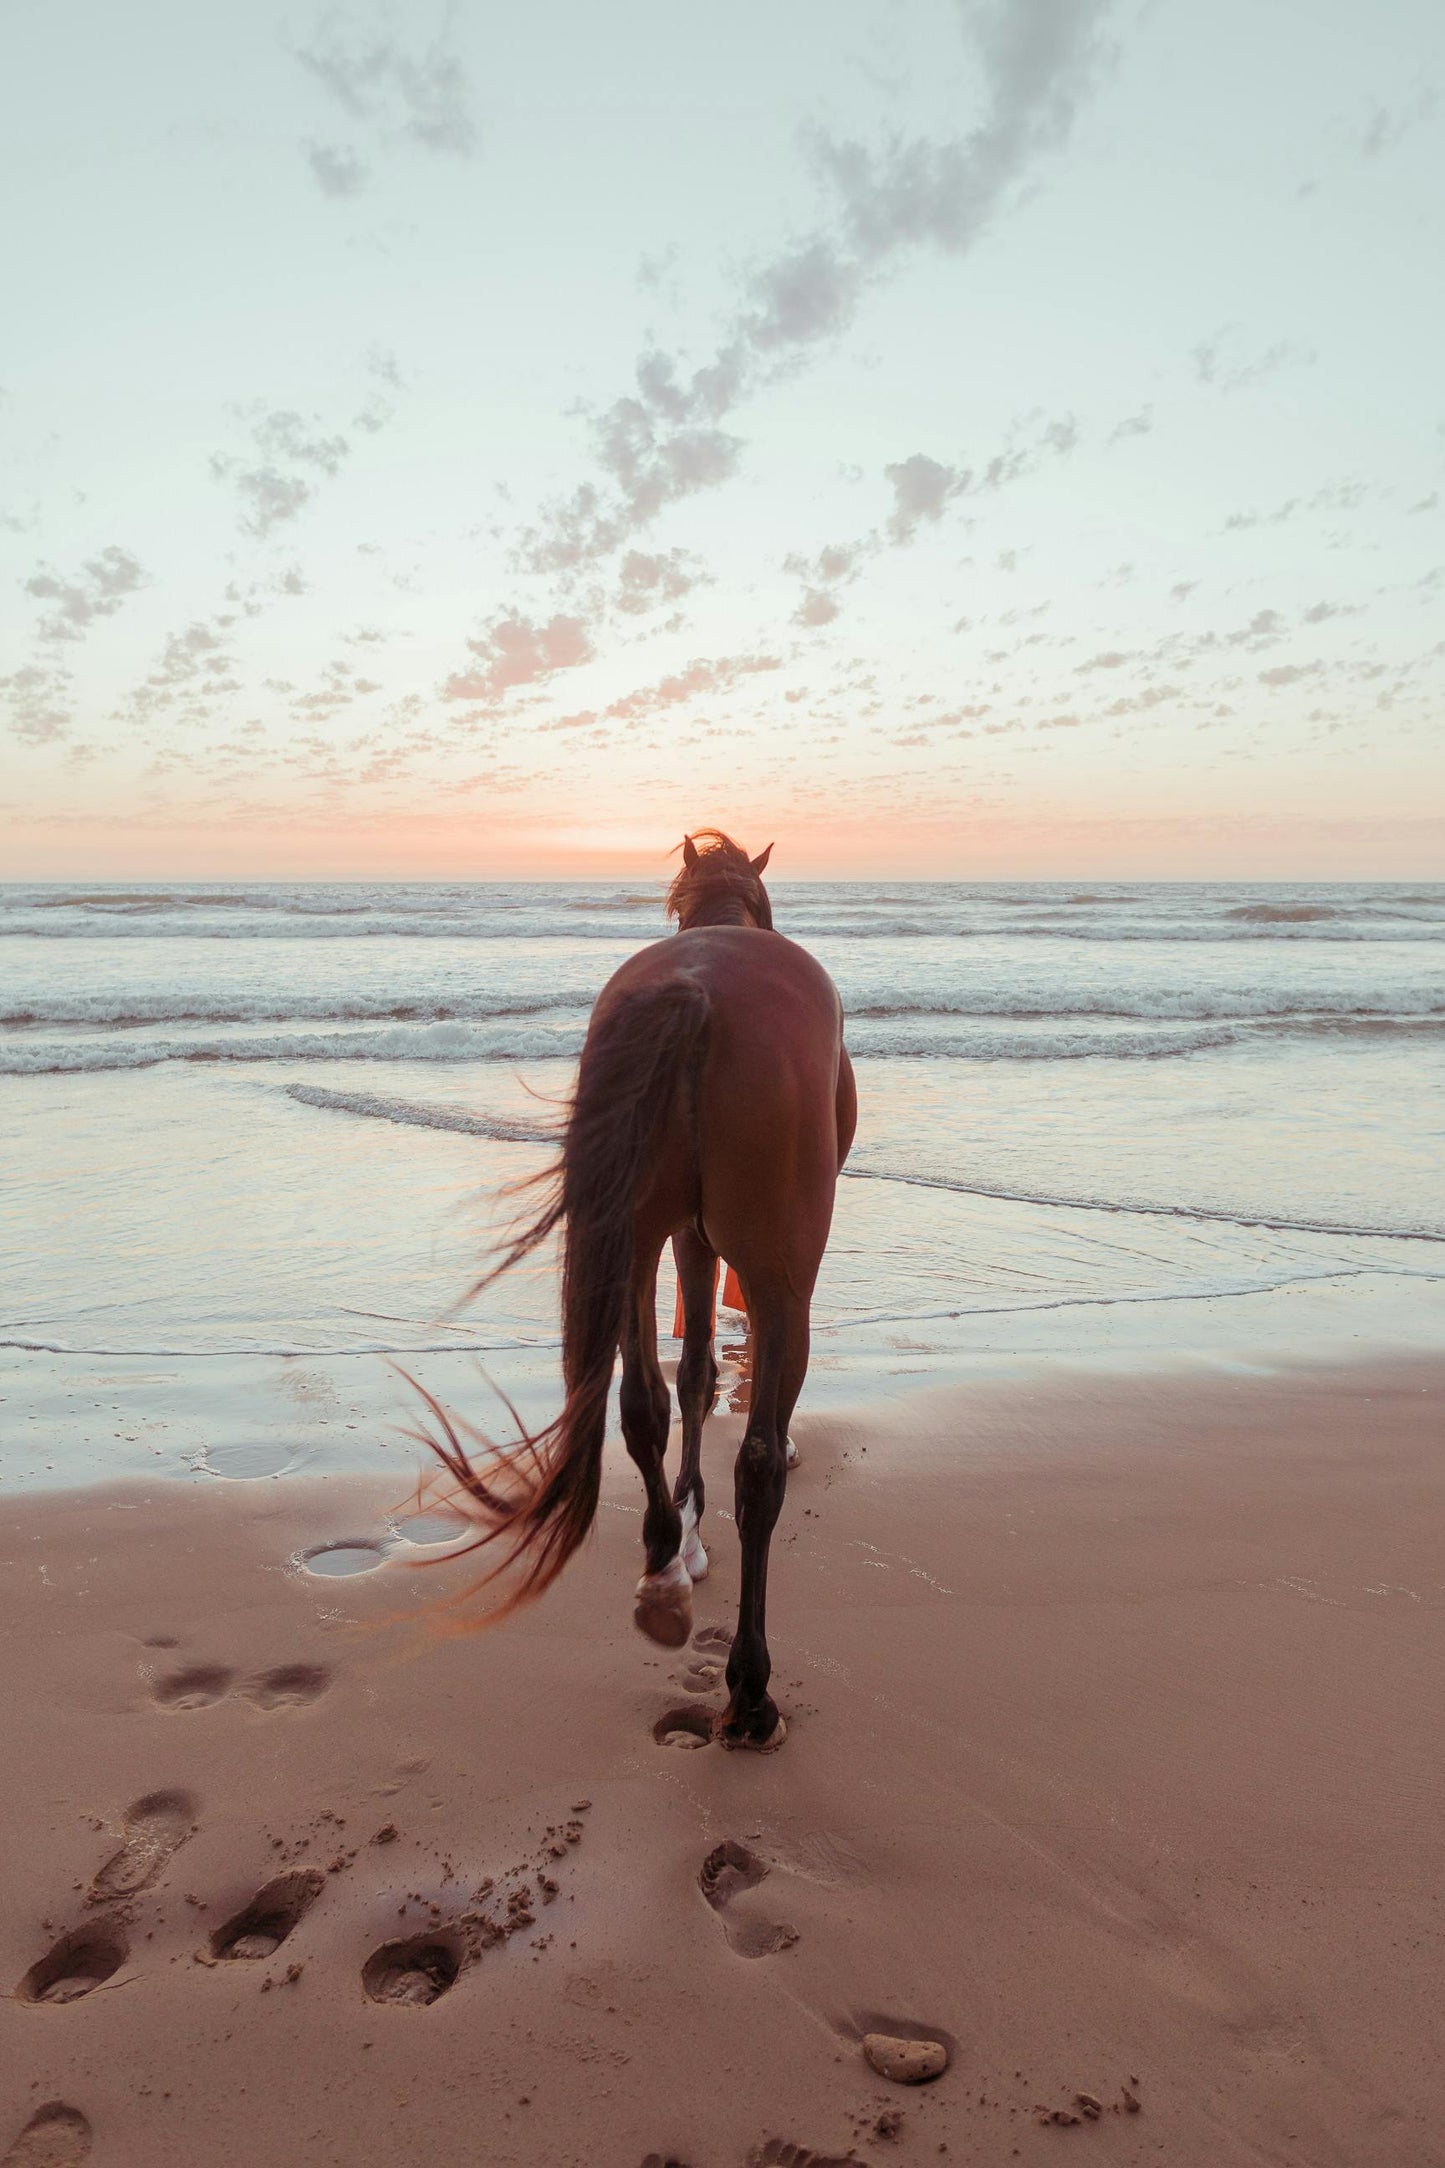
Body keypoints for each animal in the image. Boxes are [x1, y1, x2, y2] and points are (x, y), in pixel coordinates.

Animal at [422, 830, 855, 1750]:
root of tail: (695, 990)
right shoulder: (723, 1245)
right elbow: (715, 1382)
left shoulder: (683, 1233)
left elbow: (686, 1378)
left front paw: (684, 1526)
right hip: (777, 1268)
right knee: (758, 1460)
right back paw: (750, 1692)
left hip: (628, 1236)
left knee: (639, 1405)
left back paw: (663, 1570)